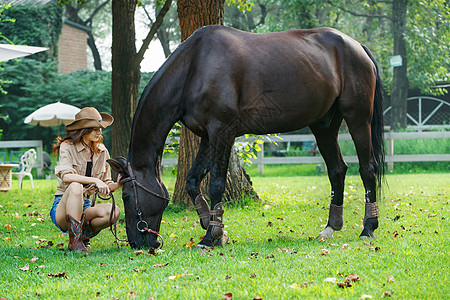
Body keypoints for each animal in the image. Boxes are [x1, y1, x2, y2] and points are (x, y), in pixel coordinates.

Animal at [107, 24, 384, 250]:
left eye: (126, 196)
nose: (136, 242)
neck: (194, 67)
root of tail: (357, 46)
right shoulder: (207, 137)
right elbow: (193, 181)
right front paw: (213, 228)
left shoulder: (222, 133)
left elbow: (216, 184)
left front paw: (211, 236)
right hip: (324, 125)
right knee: (337, 169)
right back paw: (330, 227)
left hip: (358, 118)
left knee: (367, 169)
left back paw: (368, 228)